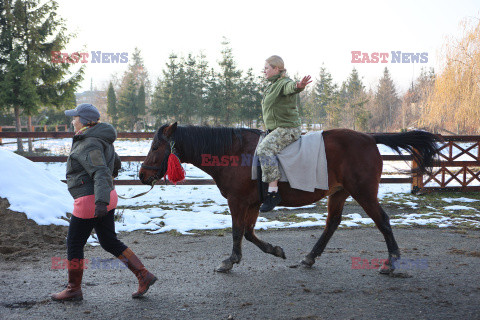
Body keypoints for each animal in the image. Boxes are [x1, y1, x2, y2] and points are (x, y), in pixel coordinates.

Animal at [137, 124, 440, 274]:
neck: (233, 152)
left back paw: (392, 261)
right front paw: (275, 250)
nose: (141, 175)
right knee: (332, 224)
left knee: (383, 221)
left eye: (156, 146)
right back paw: (309, 258)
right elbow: (248, 233)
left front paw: (230, 260)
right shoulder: (253, 203)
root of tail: (368, 137)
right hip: (340, 192)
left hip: (363, 191)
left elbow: (237, 232)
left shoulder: (238, 201)